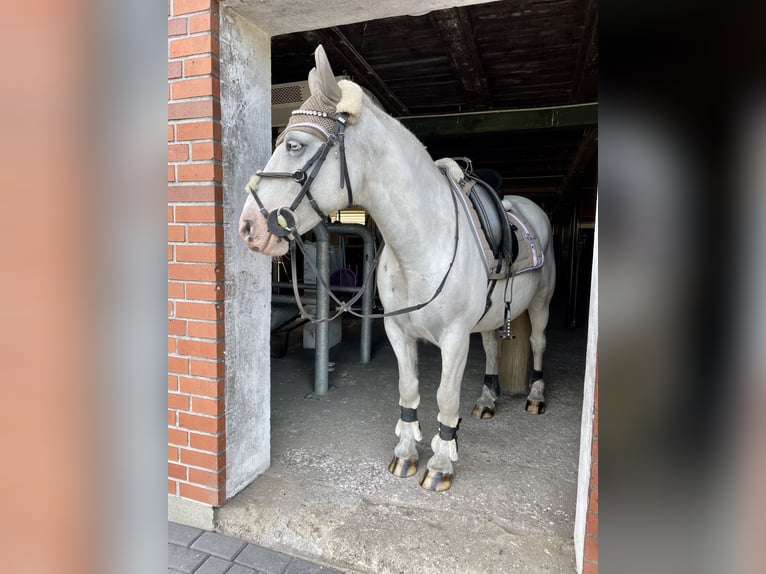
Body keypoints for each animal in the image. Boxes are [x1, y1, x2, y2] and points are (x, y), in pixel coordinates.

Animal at [237, 46, 556, 496]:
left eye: (295, 145)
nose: (249, 226)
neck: (421, 245)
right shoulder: (398, 331)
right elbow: (409, 389)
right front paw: (406, 454)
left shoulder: (455, 338)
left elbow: (445, 398)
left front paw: (440, 462)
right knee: (494, 346)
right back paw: (487, 400)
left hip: (542, 302)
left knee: (539, 343)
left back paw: (536, 397)